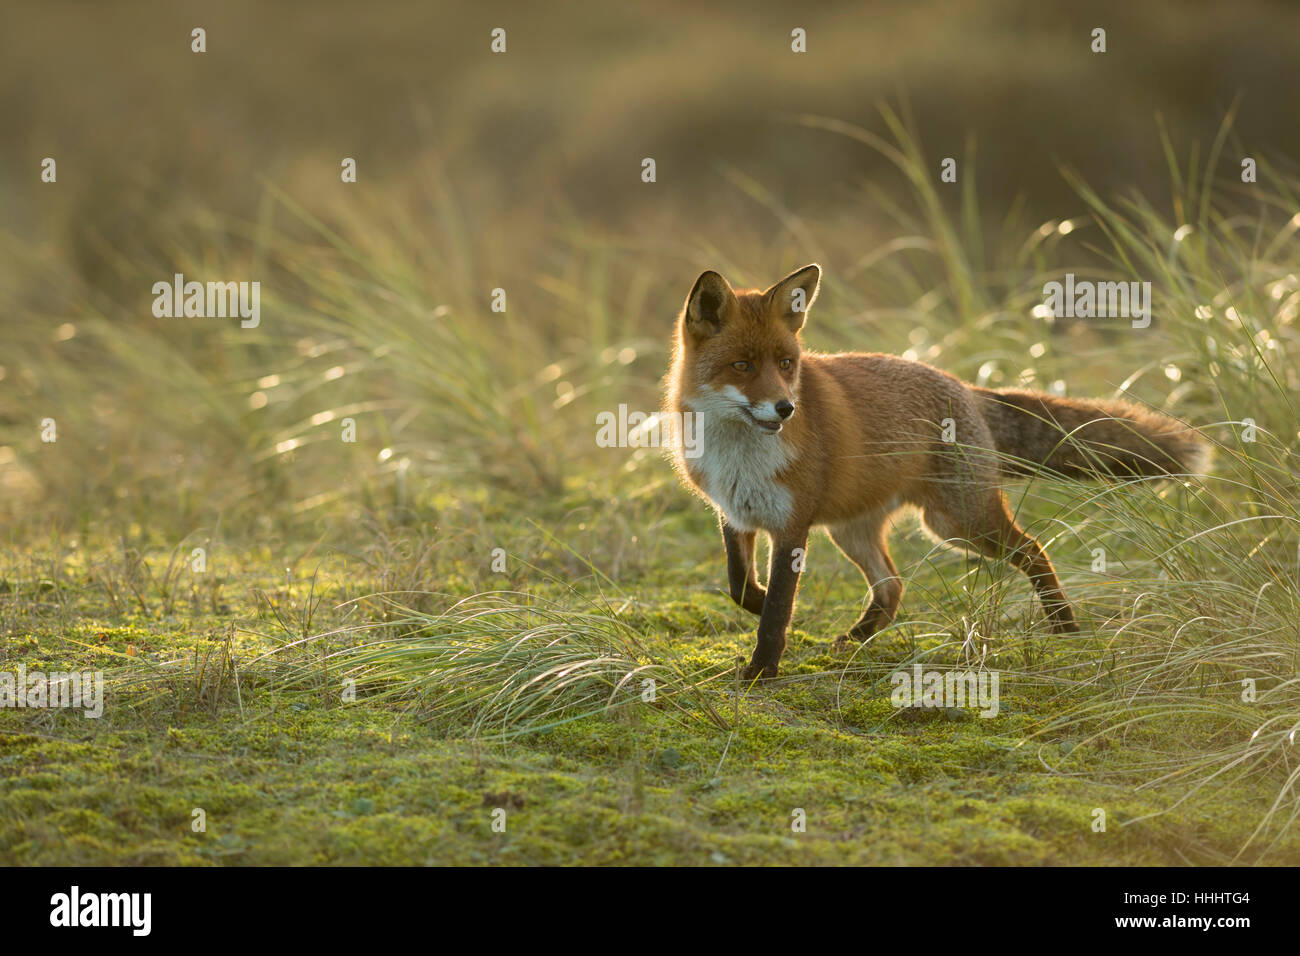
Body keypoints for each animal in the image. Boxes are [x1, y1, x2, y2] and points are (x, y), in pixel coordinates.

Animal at [665, 264, 1211, 681]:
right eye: (741, 365)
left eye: (785, 363)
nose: (786, 408)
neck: (738, 451)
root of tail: (965, 386)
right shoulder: (736, 512)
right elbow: (740, 586)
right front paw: (761, 611)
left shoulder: (792, 526)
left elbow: (778, 609)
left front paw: (761, 670)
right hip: (854, 530)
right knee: (891, 587)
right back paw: (853, 640)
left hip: (957, 522)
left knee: (1033, 550)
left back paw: (1064, 626)